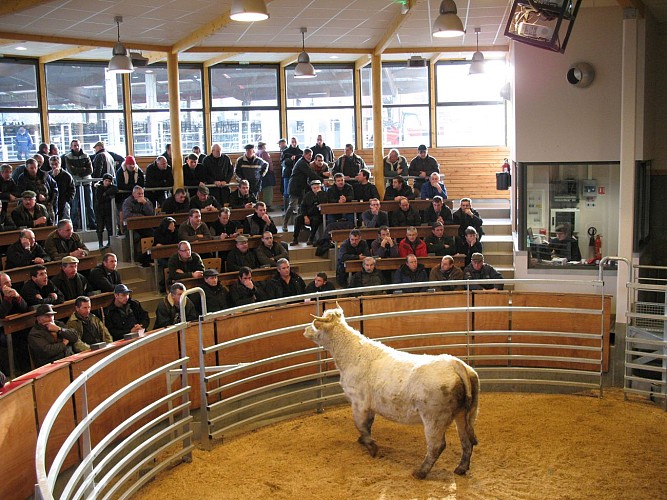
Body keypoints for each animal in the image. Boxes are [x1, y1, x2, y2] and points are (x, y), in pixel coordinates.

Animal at [306, 306, 482, 478]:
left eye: (316, 324)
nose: (306, 329)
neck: (352, 354)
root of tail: (455, 364)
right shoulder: (369, 406)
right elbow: (367, 424)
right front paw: (363, 440)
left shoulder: (359, 402)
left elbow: (361, 425)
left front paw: (372, 447)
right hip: (465, 414)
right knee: (466, 441)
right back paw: (461, 468)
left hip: (434, 418)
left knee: (437, 445)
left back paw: (421, 472)